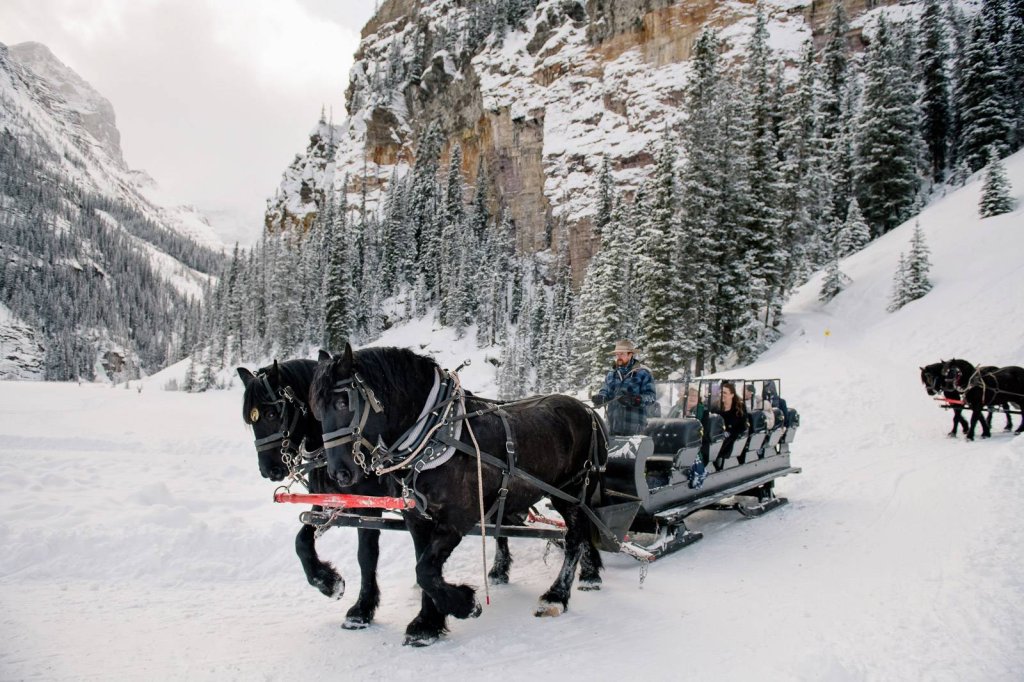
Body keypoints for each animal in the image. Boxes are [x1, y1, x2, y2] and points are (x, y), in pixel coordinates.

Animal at [239, 358, 520, 630]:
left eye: (271, 413)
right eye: (251, 420)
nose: (268, 469)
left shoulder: (369, 507)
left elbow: (366, 556)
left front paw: (362, 609)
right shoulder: (329, 505)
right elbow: (301, 542)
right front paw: (328, 583)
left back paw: (498, 570)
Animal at [311, 342, 606, 647]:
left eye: (343, 402)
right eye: (316, 409)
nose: (339, 473)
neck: (434, 436)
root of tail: (588, 410)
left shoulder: (458, 518)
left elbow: (426, 570)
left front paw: (464, 604)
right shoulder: (418, 519)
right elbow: (423, 567)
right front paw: (427, 624)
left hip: (572, 492)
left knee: (574, 538)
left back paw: (558, 595)